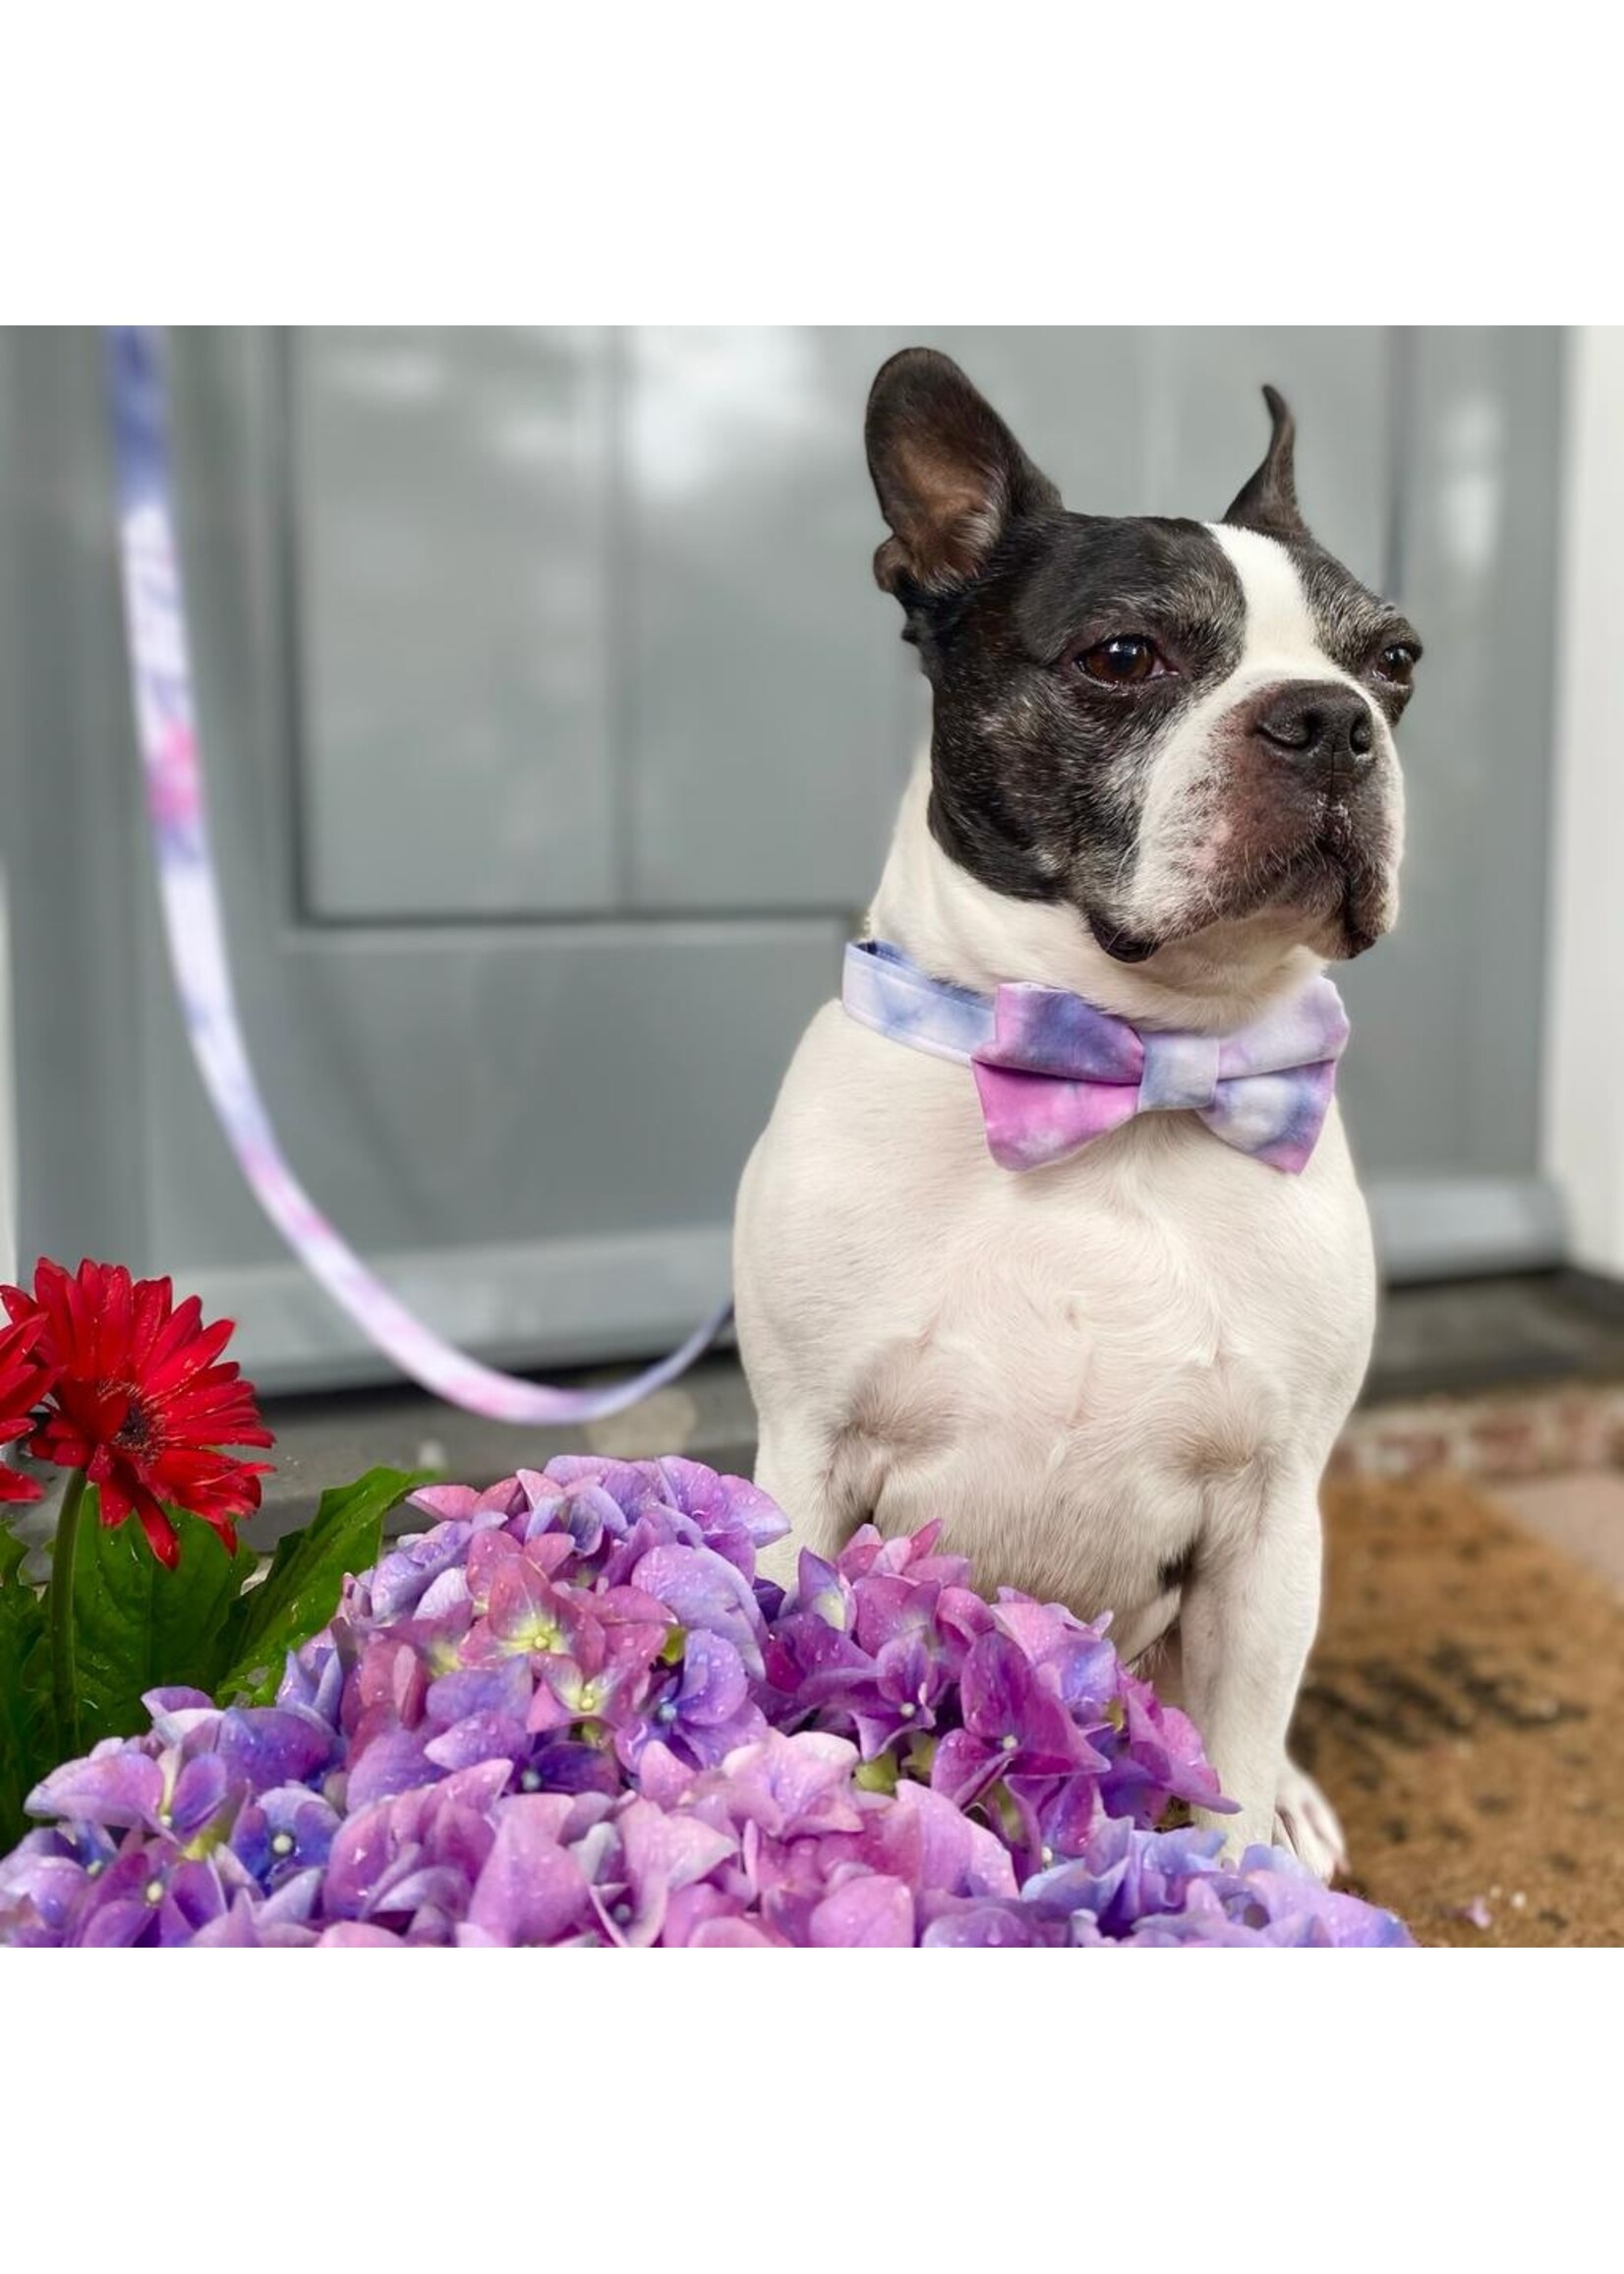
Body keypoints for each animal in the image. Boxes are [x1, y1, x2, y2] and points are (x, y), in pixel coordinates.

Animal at [732, 340, 1419, 1864]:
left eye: (1395, 661)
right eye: (1123, 657)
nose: (1329, 720)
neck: (1124, 1061)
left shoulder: (1271, 1521)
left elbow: (1233, 1758)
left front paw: (1240, 1872)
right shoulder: (806, 1455)